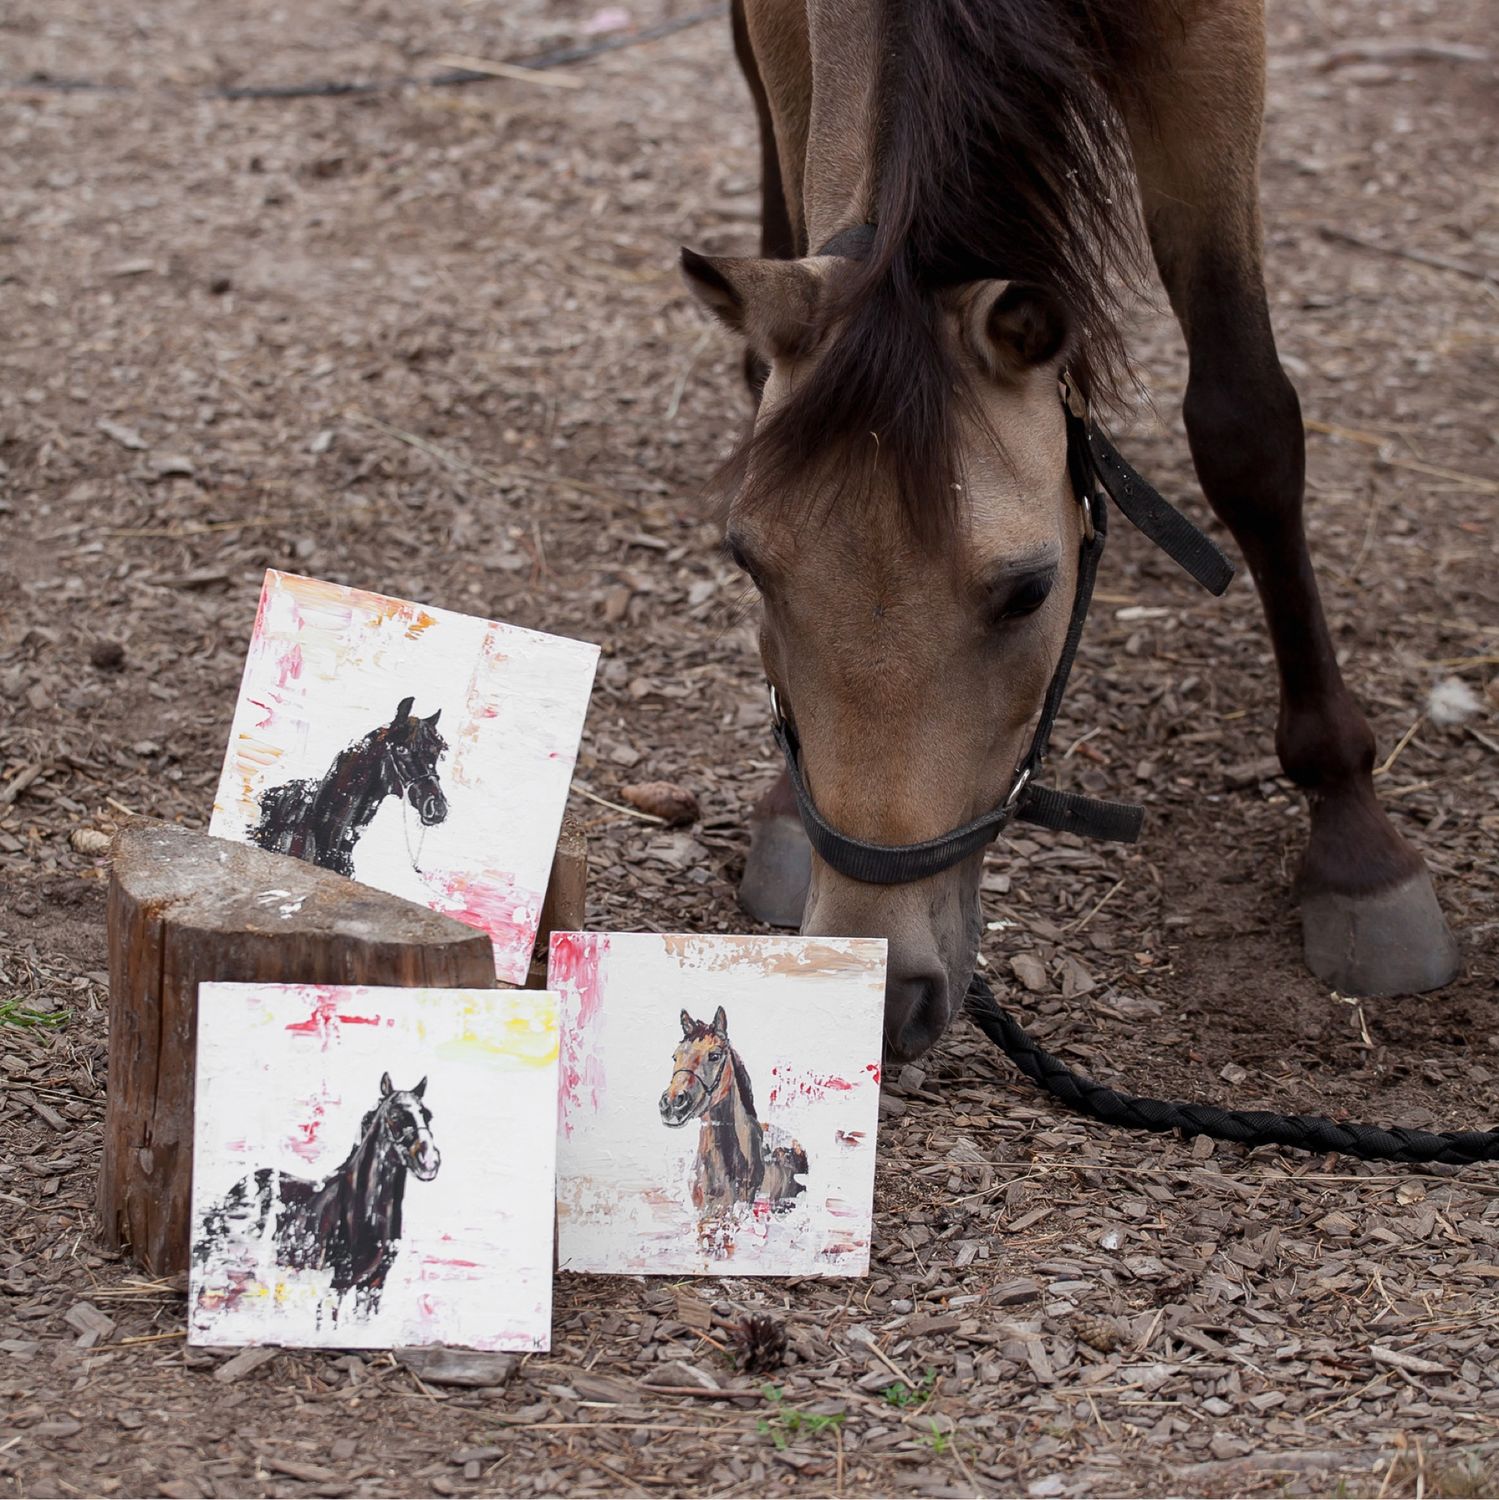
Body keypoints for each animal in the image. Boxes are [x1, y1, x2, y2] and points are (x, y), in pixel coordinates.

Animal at [193, 1080, 441, 1314]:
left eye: (428, 1115)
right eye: (395, 1115)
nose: (429, 1162)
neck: (366, 1211)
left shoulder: (373, 1284)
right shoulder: (336, 1284)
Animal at [687, 0, 1458, 1062]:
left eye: (1029, 592)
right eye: (749, 566)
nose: (879, 988)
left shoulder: (1213, 40)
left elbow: (1247, 428)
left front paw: (1353, 837)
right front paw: (787, 820)